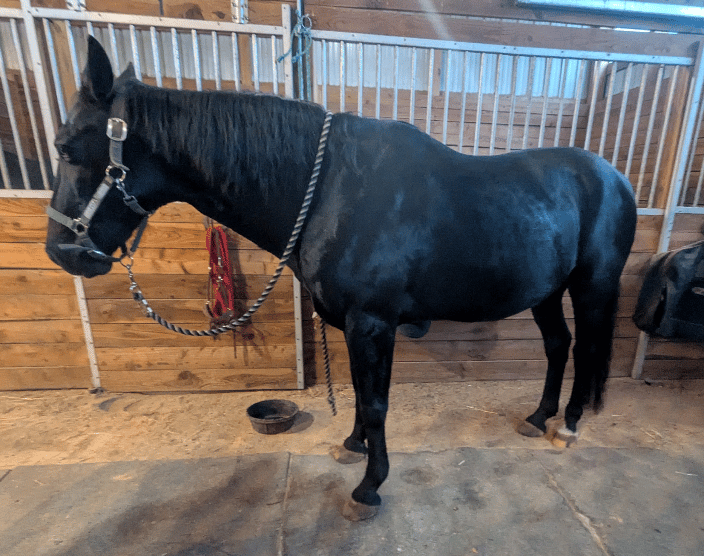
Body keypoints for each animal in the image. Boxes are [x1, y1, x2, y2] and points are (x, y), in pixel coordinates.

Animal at [46, 37, 637, 521]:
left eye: (67, 148)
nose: (61, 251)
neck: (332, 188)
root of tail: (614, 178)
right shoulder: (358, 326)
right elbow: (359, 391)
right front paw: (353, 446)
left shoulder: (372, 322)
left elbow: (376, 401)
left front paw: (369, 488)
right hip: (547, 291)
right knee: (559, 345)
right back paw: (538, 417)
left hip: (591, 286)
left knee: (586, 349)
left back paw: (568, 425)